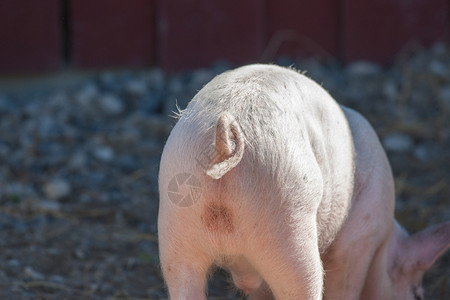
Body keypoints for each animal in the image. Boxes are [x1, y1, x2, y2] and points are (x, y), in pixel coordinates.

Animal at [156, 64, 448, 298]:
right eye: (417, 293)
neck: (384, 241)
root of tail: (226, 140)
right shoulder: (360, 238)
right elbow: (346, 286)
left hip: (176, 225)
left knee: (182, 281)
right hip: (287, 219)